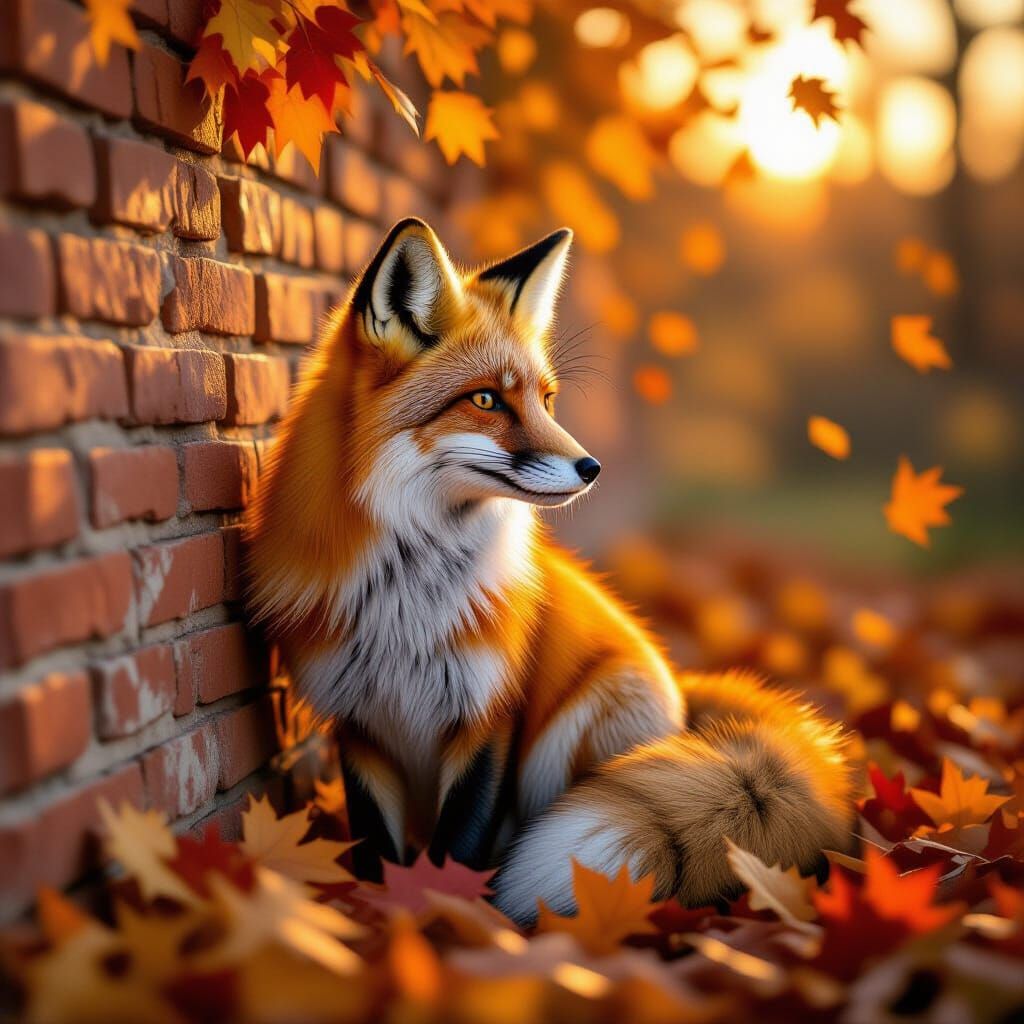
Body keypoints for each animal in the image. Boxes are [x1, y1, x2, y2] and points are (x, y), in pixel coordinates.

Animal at [245, 217, 856, 922]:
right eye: (486, 399)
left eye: (545, 399)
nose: (592, 468)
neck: (409, 596)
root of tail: (686, 700)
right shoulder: (361, 726)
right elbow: (379, 855)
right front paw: (384, 916)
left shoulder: (489, 718)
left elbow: (458, 850)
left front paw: (453, 917)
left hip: (581, 729)